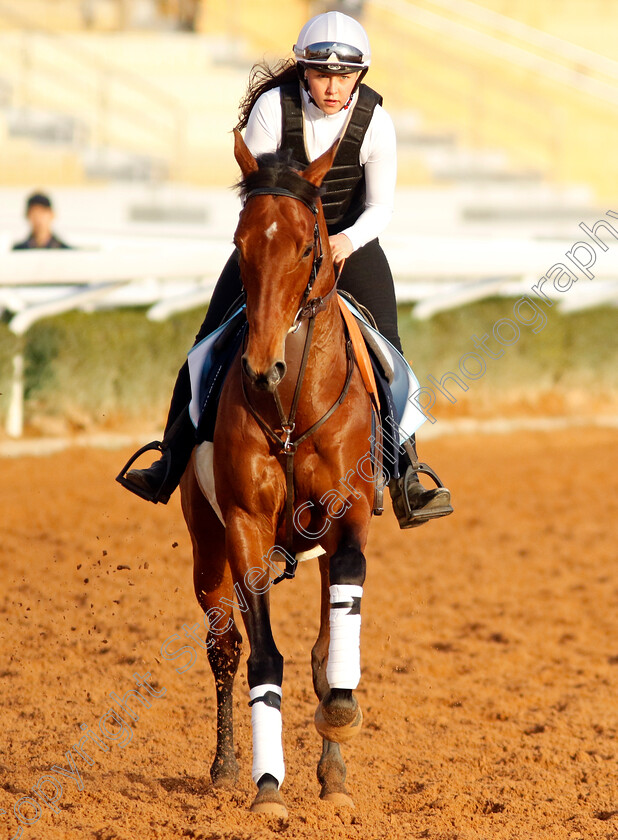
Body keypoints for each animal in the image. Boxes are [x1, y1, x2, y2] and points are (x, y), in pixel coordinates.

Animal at [179, 133, 376, 820]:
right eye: (240, 243)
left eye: (305, 245)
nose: (262, 368)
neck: (290, 407)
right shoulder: (245, 527)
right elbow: (263, 655)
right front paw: (268, 787)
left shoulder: (349, 510)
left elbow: (332, 638)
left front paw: (340, 727)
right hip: (206, 544)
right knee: (224, 647)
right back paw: (224, 768)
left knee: (321, 646)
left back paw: (335, 775)